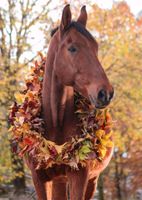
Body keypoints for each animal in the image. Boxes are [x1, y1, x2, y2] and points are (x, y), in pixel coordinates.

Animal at [26, 4, 114, 200]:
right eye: (73, 48)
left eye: (96, 48)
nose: (106, 93)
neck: (55, 123)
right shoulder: (39, 179)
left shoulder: (79, 177)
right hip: (59, 180)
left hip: (91, 181)